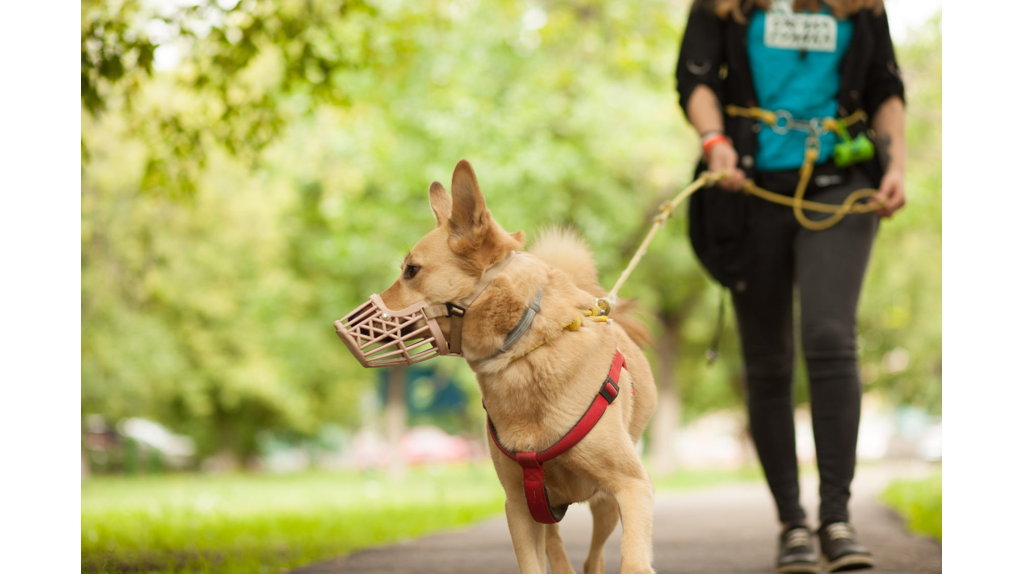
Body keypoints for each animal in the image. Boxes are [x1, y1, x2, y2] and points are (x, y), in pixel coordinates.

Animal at [356, 158, 655, 568]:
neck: (523, 353)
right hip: (545, 505)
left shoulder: (632, 487)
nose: (347, 327)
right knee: (558, 551)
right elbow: (533, 564)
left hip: (606, 503)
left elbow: (633, 560)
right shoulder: (519, 505)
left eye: (411, 270)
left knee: (593, 557)